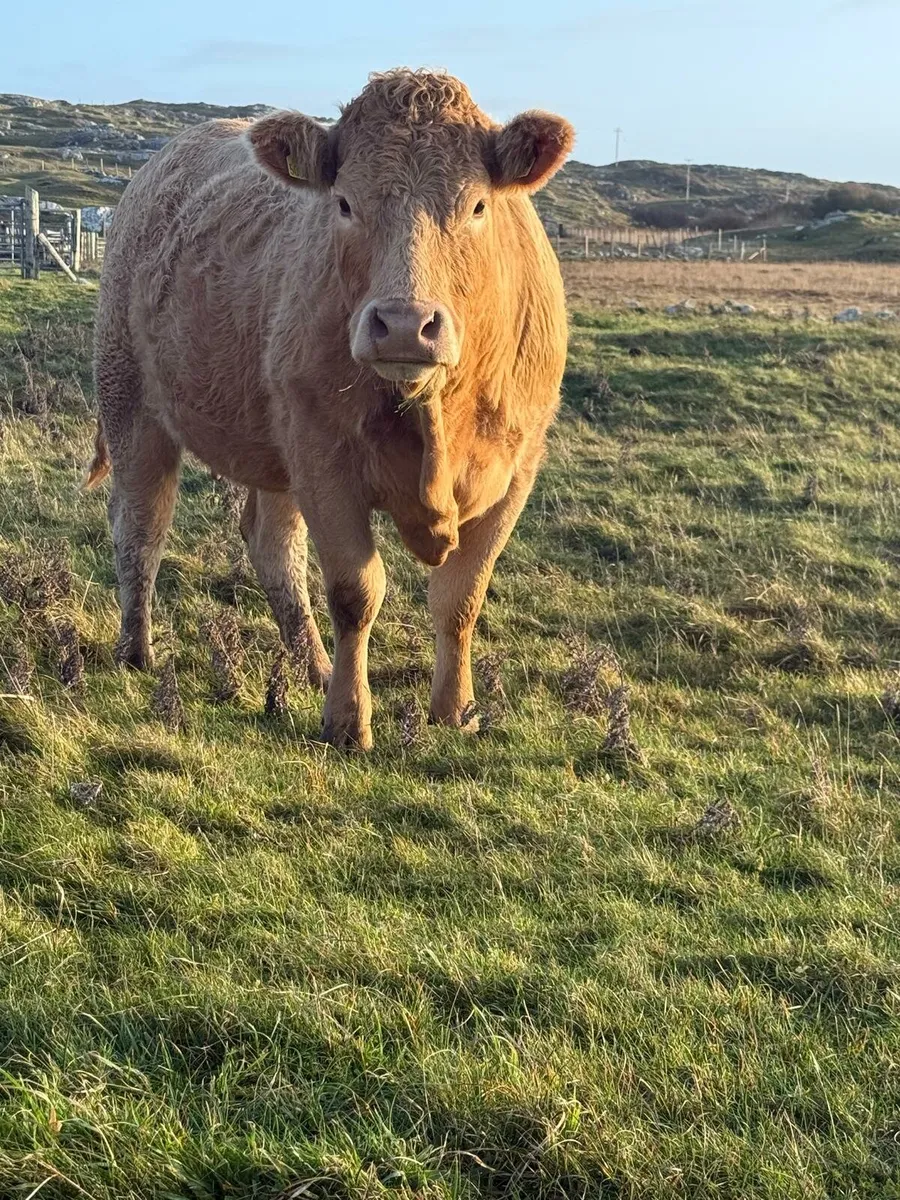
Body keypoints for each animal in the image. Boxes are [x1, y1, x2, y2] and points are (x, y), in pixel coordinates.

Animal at [87, 69, 573, 750]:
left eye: (478, 205)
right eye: (344, 203)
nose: (404, 324)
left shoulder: (516, 468)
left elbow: (460, 597)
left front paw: (456, 711)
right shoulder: (324, 459)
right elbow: (355, 592)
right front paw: (347, 720)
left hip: (275, 444)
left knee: (270, 546)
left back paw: (310, 665)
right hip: (129, 395)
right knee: (141, 526)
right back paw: (137, 651)